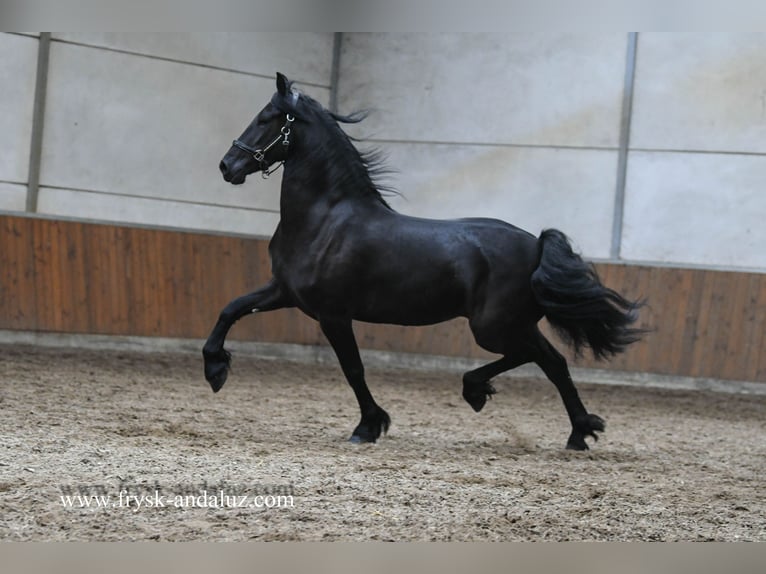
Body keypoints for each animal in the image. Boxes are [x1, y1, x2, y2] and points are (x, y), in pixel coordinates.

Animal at [204, 72, 645, 450]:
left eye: (266, 119)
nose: (226, 166)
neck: (324, 220)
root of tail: (536, 244)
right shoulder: (284, 292)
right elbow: (230, 309)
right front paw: (215, 371)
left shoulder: (333, 314)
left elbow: (353, 369)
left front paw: (368, 427)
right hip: (512, 324)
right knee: (552, 361)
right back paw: (577, 433)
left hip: (493, 327)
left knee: (539, 357)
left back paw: (483, 393)